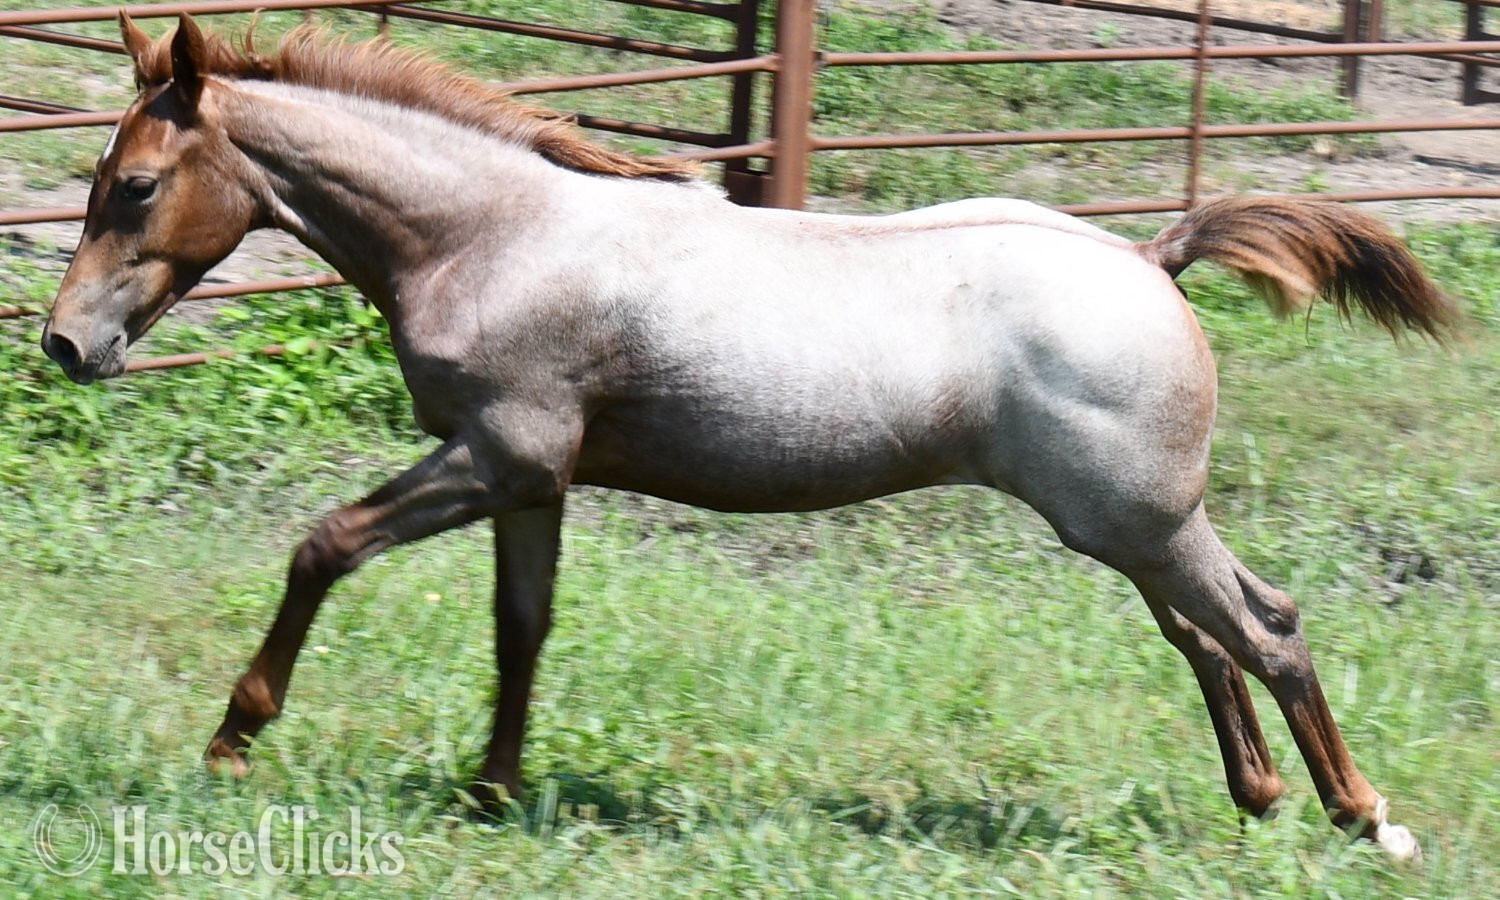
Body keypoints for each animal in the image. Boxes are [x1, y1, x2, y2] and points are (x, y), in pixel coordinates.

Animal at [42, 14, 1455, 860]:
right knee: (1208, 636)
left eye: (136, 186)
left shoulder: (500, 455)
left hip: (1137, 522)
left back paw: (1366, 818)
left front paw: (232, 741)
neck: (491, 236)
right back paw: (1262, 796)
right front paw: (493, 794)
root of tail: (1152, 257)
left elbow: (324, 545)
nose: (63, 344)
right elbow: (520, 629)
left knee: (1265, 625)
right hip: (1133, 527)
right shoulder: (536, 481)